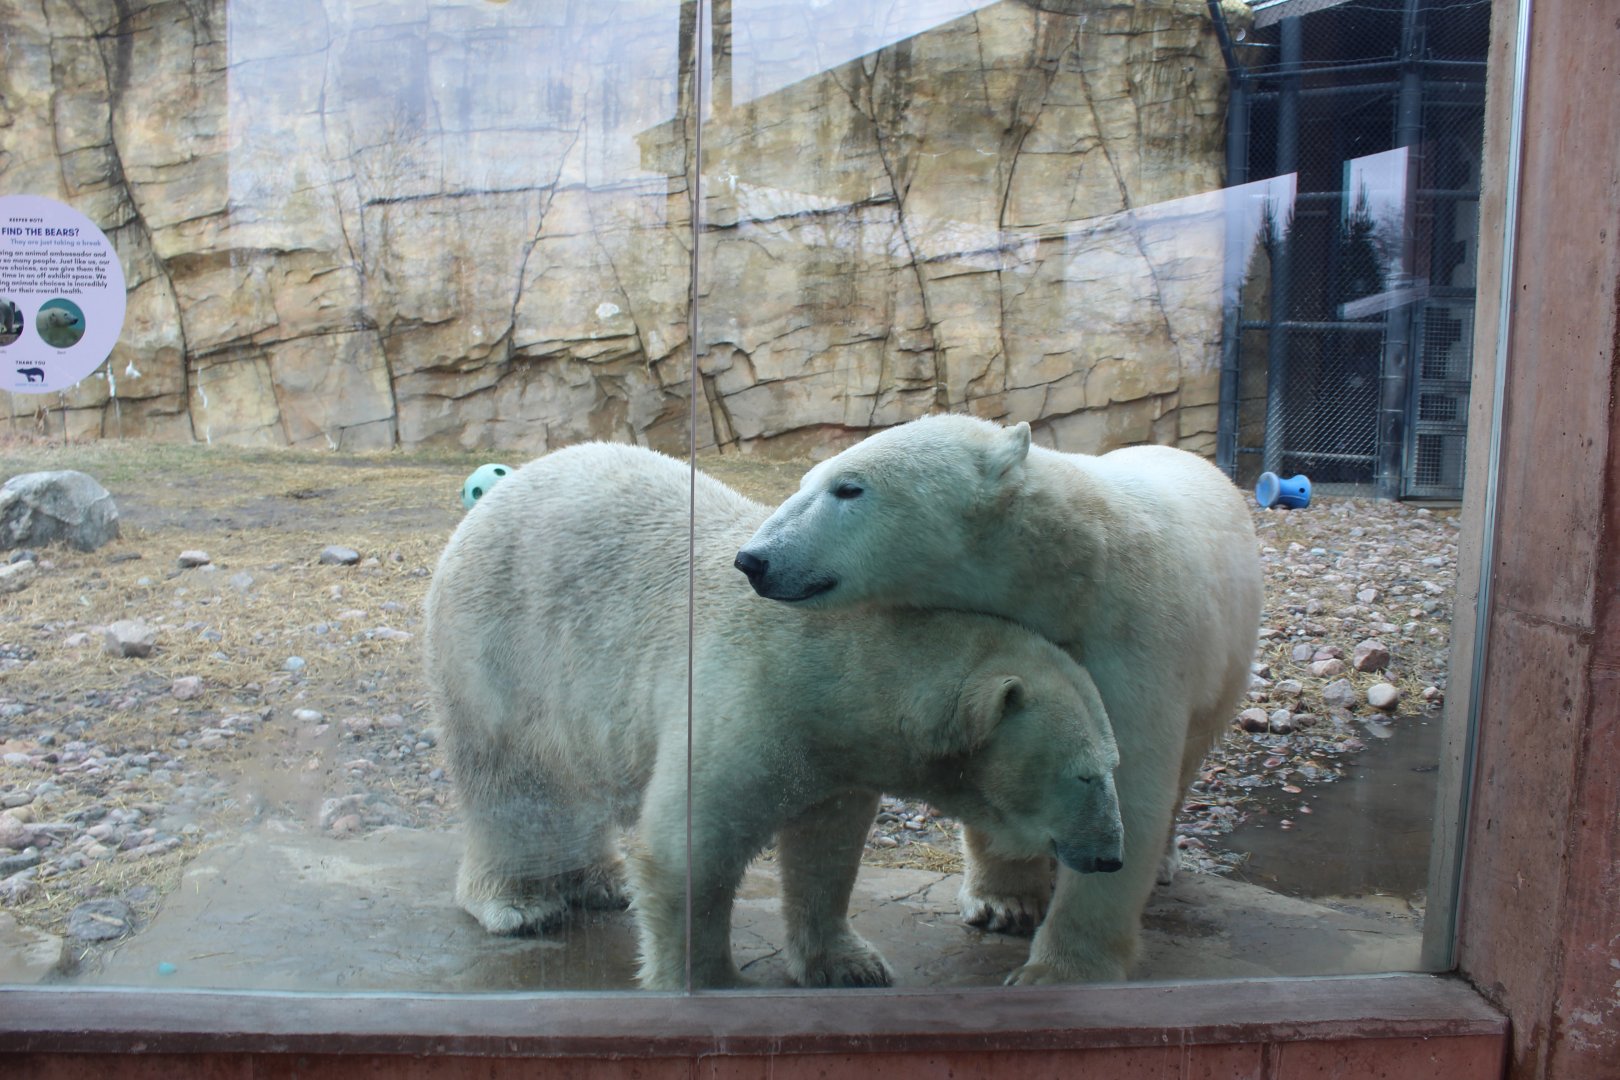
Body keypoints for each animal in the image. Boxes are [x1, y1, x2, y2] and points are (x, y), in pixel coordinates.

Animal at [423, 441, 1125, 991]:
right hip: (497, 642)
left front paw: (849, 963)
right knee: (505, 778)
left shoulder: (835, 752)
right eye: (1087, 774)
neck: (843, 662)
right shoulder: (744, 697)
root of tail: (502, 490)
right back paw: (518, 904)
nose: (1111, 856)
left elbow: (827, 847)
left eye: (1113, 764)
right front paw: (704, 979)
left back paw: (600, 882)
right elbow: (688, 848)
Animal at [734, 413, 1264, 984]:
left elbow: (1132, 782)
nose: (753, 560)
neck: (1068, 569)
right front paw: (1003, 903)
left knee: (1186, 764)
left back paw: (1165, 861)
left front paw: (1059, 970)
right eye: (805, 480)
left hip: (1225, 664)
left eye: (849, 488)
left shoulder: (1135, 642)